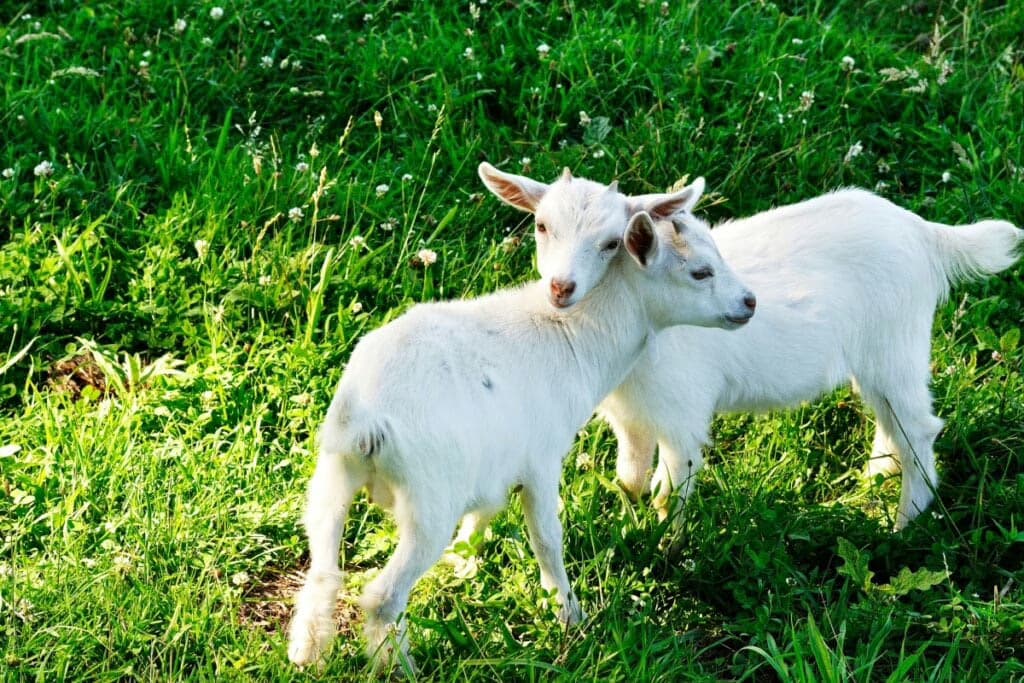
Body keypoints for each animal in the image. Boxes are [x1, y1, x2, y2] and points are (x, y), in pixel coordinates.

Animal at [286, 165, 756, 672]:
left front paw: (466, 561)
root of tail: (367, 421)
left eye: (609, 241)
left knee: (323, 569)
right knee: (382, 596)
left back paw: (306, 652)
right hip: (429, 497)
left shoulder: (496, 464)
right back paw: (400, 667)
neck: (572, 336)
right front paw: (571, 617)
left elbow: (485, 512)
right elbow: (548, 539)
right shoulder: (541, 459)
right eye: (700, 271)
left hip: (333, 471)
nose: (749, 302)